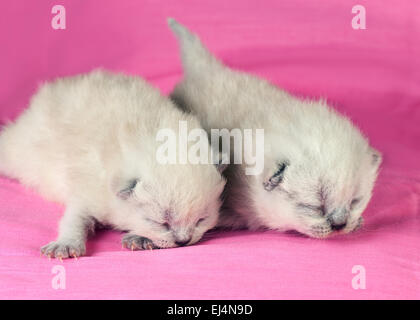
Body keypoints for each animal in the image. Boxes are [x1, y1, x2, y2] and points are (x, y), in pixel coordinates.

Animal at [0, 69, 226, 258]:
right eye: (161, 223)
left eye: (202, 219)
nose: (183, 241)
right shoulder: (87, 191)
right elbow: (74, 218)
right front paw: (65, 244)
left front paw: (139, 238)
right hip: (20, 150)